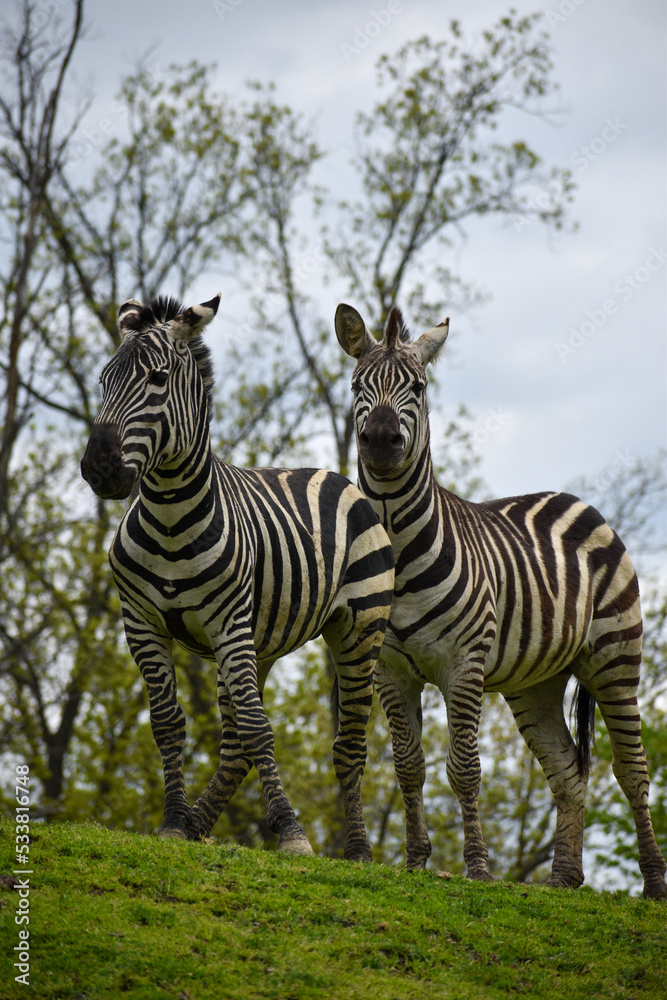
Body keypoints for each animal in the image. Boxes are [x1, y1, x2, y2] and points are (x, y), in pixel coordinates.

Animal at [80, 293, 395, 860]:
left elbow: (257, 726)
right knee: (234, 746)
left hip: (359, 630)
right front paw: (173, 822)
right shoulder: (141, 623)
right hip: (260, 641)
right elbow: (169, 723)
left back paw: (358, 849)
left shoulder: (228, 623)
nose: (99, 468)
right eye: (103, 379)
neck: (169, 517)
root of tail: (333, 474)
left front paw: (291, 833)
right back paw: (198, 822)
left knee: (348, 742)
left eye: (157, 379)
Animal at [335, 301, 667, 899]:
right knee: (568, 770)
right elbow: (408, 764)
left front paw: (477, 868)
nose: (379, 440)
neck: (397, 546)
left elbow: (464, 767)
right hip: (537, 682)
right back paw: (562, 879)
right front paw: (415, 861)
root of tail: (572, 498)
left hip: (614, 657)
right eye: (356, 386)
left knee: (631, 769)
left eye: (417, 387)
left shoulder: (463, 664)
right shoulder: (390, 669)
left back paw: (653, 883)